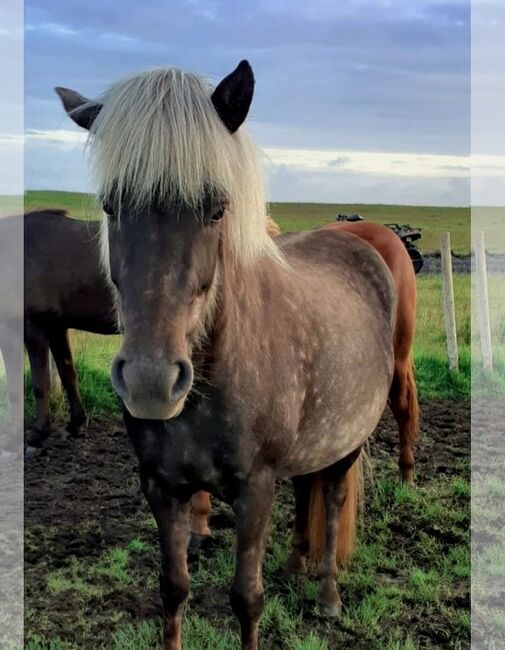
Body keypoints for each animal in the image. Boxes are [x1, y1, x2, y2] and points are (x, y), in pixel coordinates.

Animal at [57, 61, 397, 649]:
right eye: (109, 205)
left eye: (217, 209)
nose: (150, 382)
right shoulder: (161, 487)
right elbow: (173, 589)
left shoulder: (254, 490)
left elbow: (246, 598)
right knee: (305, 487)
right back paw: (295, 564)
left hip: (348, 443)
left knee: (332, 503)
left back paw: (328, 595)